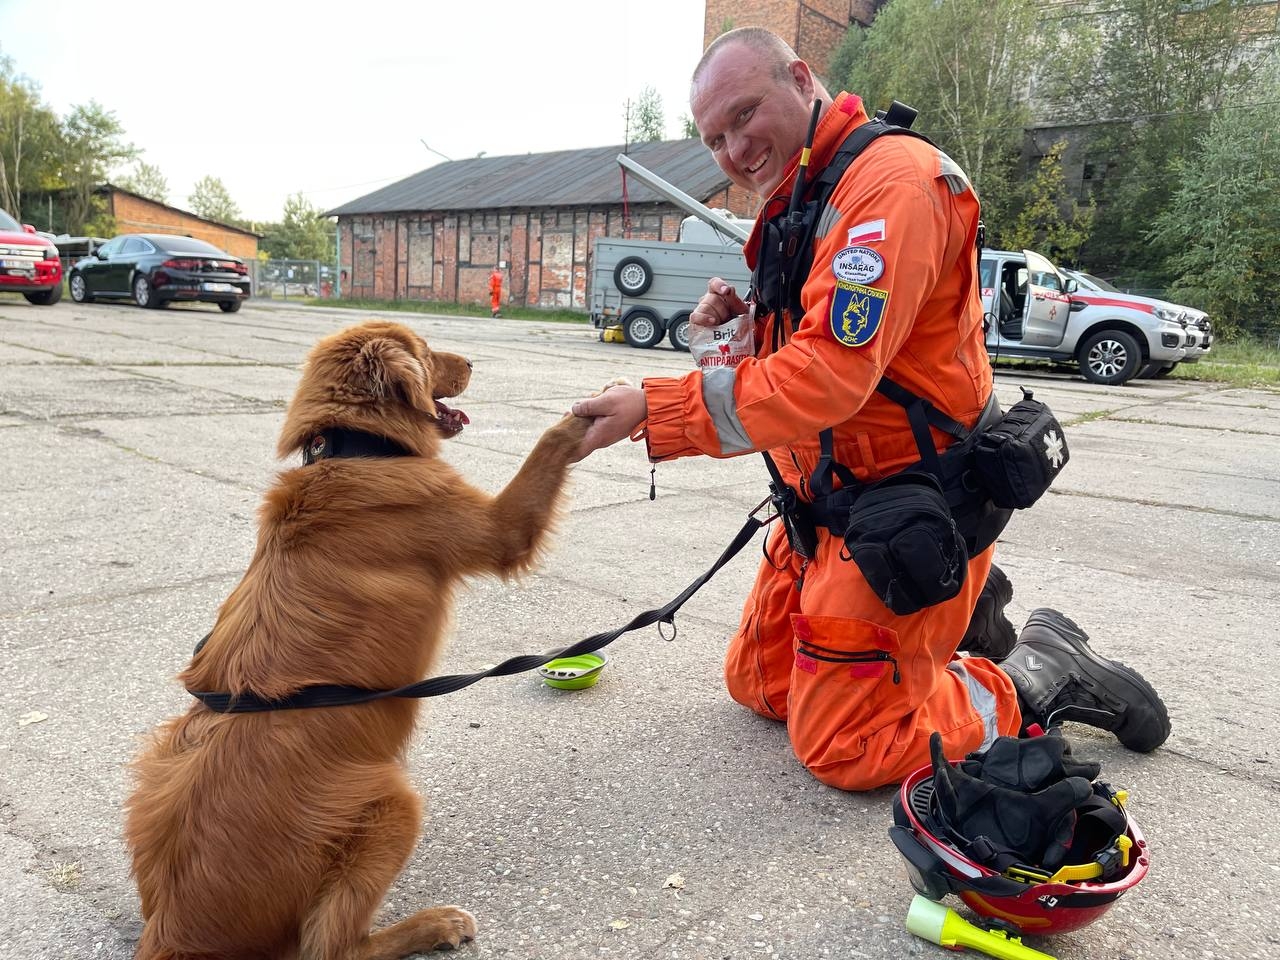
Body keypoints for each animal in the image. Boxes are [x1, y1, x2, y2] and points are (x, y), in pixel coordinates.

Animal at [124, 323, 588, 960]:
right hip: (393, 804)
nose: (473, 361)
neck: (354, 449)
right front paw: (596, 410)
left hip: (158, 766)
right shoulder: (502, 528)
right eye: (426, 351)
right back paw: (433, 925)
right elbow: (548, 442)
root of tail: (171, 930)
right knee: (334, 948)